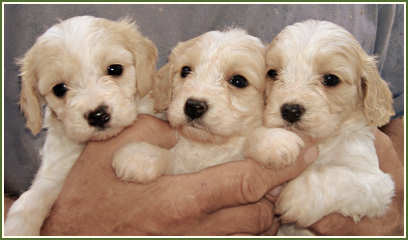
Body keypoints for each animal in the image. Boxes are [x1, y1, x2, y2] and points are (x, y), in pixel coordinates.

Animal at [5, 15, 159, 236]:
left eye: (115, 69)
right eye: (59, 89)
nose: (98, 115)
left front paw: (139, 158)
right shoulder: (56, 173)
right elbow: (31, 197)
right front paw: (17, 228)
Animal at [111, 29, 302, 184]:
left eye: (238, 81)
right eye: (185, 71)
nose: (194, 106)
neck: (206, 145)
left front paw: (273, 139)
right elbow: (172, 156)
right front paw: (140, 156)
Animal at [264, 20, 396, 234]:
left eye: (331, 79)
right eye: (272, 73)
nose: (290, 110)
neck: (322, 141)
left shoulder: (377, 182)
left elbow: (340, 177)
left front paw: (299, 197)